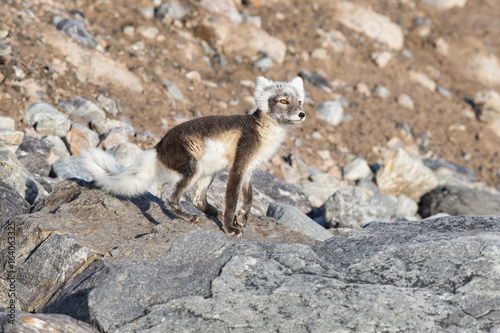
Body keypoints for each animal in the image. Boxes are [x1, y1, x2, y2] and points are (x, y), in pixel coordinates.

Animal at [81, 76, 306, 236]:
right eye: (283, 101)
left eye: (300, 101)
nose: (302, 114)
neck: (264, 132)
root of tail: (158, 147)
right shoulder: (238, 166)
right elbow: (233, 199)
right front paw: (230, 228)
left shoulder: (249, 168)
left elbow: (248, 198)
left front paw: (241, 219)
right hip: (192, 168)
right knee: (171, 200)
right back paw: (190, 217)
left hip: (208, 172)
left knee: (198, 200)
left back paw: (214, 213)